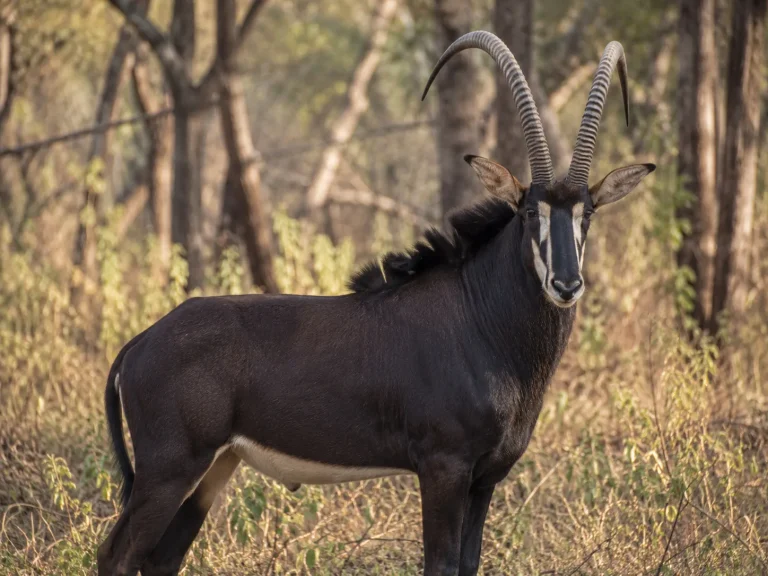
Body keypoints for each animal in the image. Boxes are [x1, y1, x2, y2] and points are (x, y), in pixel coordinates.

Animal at [98, 31, 654, 576]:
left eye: (587, 215)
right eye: (527, 213)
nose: (566, 284)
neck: (482, 320)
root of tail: (139, 344)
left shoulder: (485, 478)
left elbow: (469, 563)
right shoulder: (443, 467)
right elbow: (441, 565)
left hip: (215, 466)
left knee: (161, 558)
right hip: (170, 468)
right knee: (118, 556)